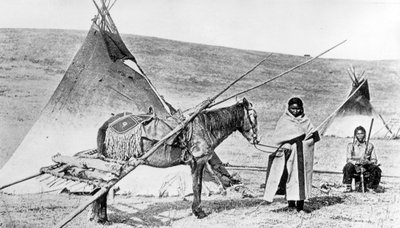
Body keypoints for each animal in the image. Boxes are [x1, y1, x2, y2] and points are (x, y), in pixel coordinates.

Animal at [97, 97, 260, 218]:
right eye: (255, 116)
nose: (256, 139)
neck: (205, 127)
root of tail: (107, 123)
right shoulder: (198, 162)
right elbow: (197, 186)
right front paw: (198, 211)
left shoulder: (196, 163)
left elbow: (197, 185)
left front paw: (196, 209)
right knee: (103, 188)